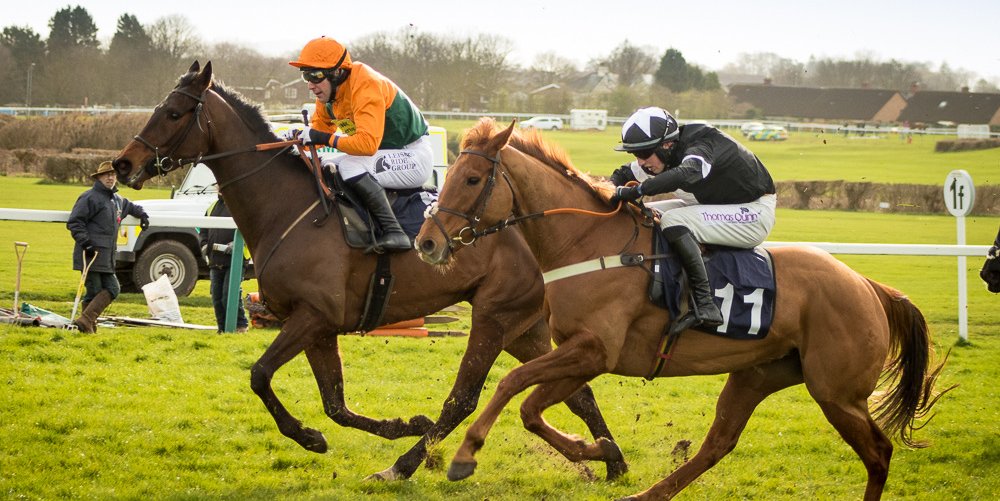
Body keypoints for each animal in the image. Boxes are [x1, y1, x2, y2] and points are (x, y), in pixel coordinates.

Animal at [110, 61, 627, 481]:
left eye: (173, 113)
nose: (122, 163)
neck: (288, 209)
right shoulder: (317, 327)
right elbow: (335, 405)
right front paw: (393, 425)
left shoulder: (312, 316)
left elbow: (259, 375)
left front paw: (313, 437)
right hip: (524, 325)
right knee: (578, 393)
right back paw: (611, 459)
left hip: (495, 315)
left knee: (464, 398)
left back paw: (403, 467)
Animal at [415, 118, 952, 500]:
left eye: (472, 178)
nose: (426, 243)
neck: (586, 240)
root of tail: (869, 286)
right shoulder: (585, 354)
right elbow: (531, 407)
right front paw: (599, 450)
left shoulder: (594, 350)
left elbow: (511, 384)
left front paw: (465, 456)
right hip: (760, 374)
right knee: (719, 443)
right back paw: (646, 495)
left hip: (836, 392)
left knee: (879, 453)